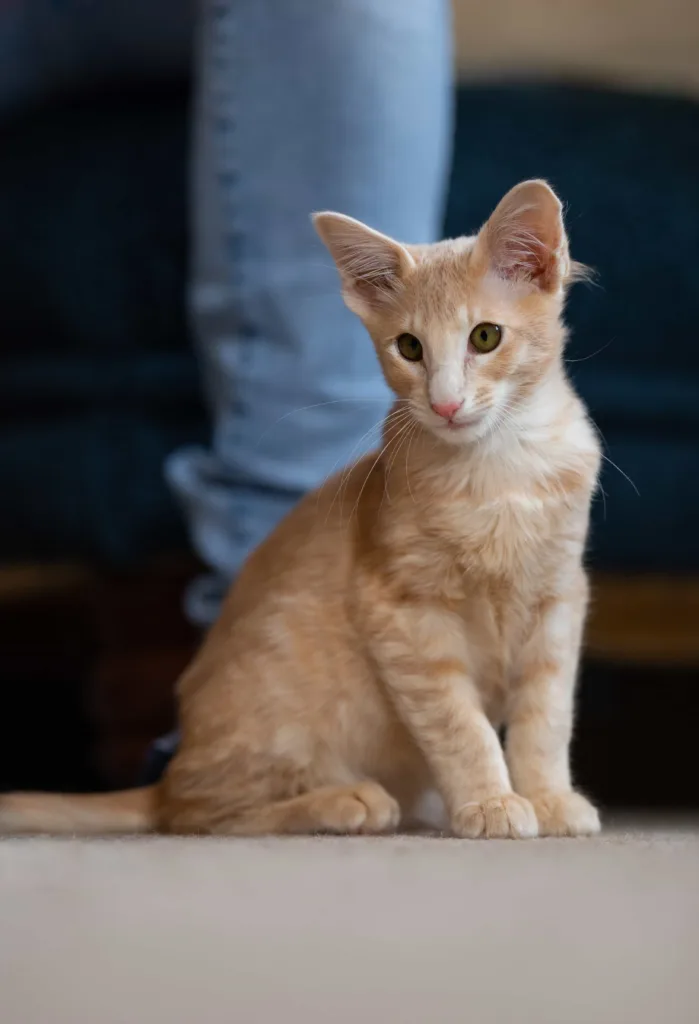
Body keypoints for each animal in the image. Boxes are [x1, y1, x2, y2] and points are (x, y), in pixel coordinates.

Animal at [0, 180, 601, 839]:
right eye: (409, 348)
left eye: (485, 337)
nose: (444, 404)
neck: (499, 469)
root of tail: (170, 772)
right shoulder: (403, 612)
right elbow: (458, 724)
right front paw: (490, 802)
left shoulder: (559, 597)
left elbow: (545, 716)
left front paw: (547, 797)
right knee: (196, 817)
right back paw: (345, 801)